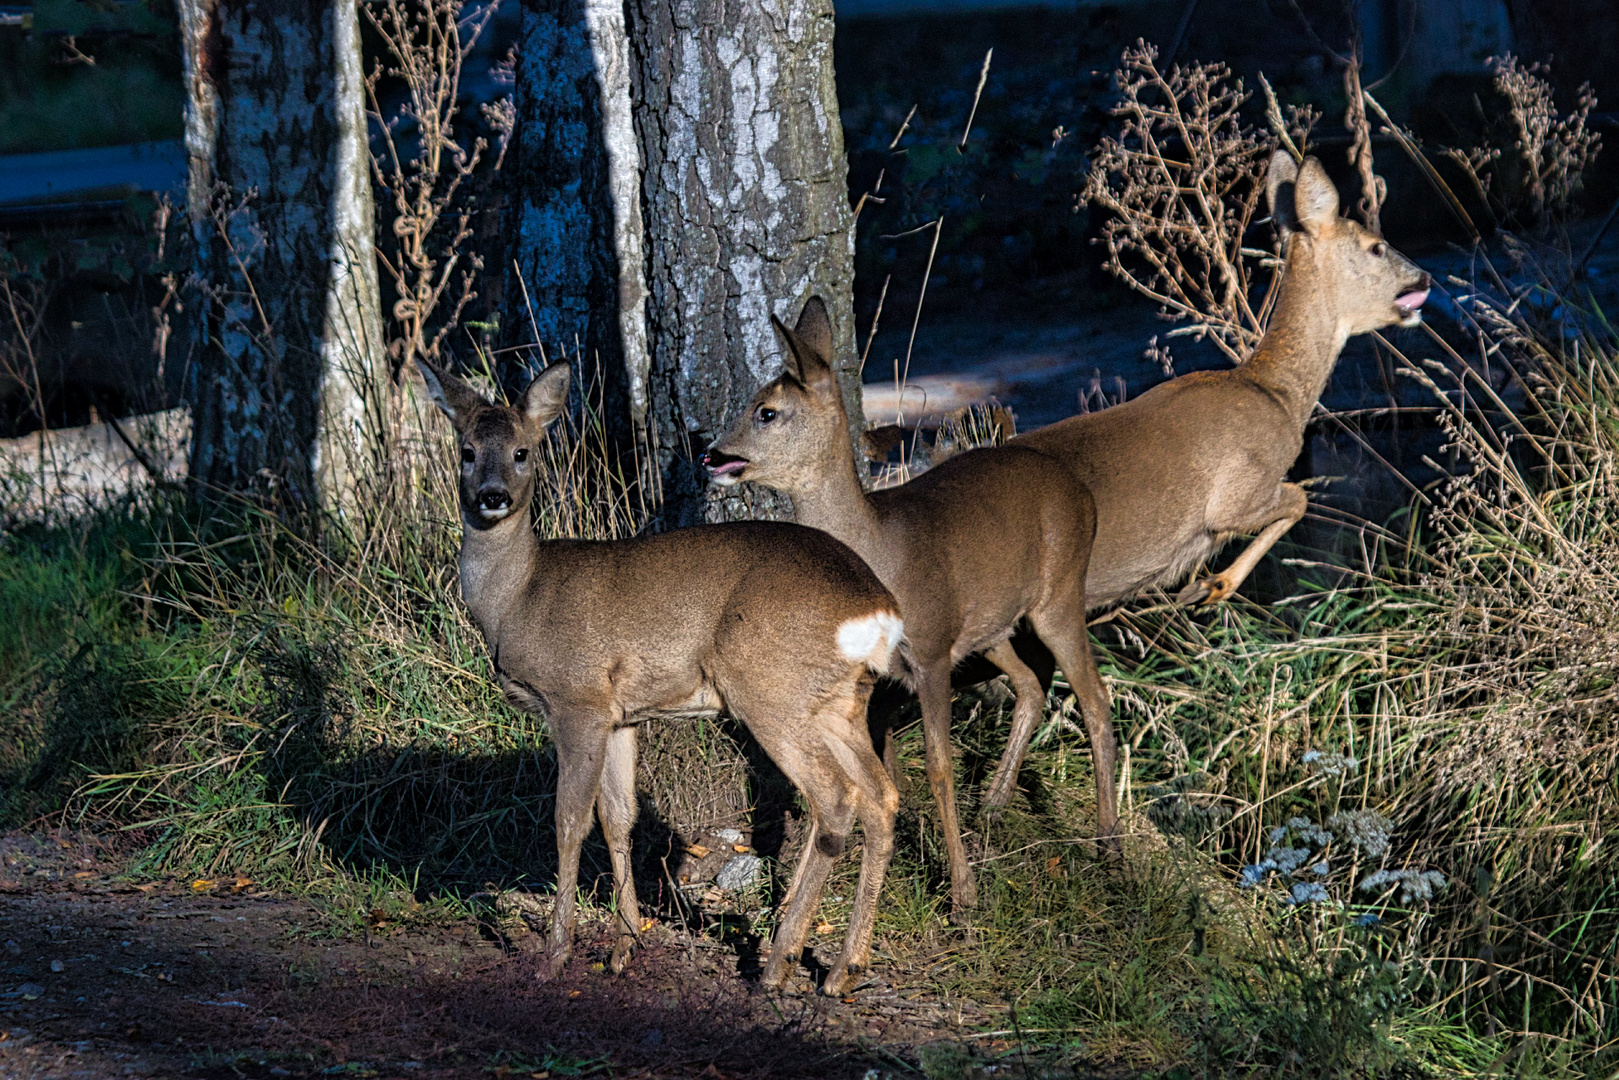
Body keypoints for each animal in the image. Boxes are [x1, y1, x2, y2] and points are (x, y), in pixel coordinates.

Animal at [414, 354, 913, 997]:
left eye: (523, 451)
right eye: (468, 450)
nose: (492, 495)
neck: (519, 598)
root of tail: (877, 607)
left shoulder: (578, 699)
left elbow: (569, 820)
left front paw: (556, 955)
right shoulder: (622, 714)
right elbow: (618, 819)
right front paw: (625, 947)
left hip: (769, 688)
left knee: (835, 798)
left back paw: (777, 963)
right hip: (837, 701)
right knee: (881, 795)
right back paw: (844, 968)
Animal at [705, 297, 1113, 919]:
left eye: (767, 411)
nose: (711, 454)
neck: (878, 550)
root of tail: (1081, 490)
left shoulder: (930, 650)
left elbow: (938, 767)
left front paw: (963, 893)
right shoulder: (884, 673)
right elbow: (886, 763)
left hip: (1061, 593)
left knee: (1095, 700)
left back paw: (1109, 848)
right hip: (989, 625)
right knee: (1030, 686)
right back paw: (993, 805)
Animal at [1010, 151, 1431, 608]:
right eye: (1376, 247)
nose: (1425, 278)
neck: (1276, 394)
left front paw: (1205, 586)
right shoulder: (1239, 493)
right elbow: (1299, 498)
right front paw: (1210, 586)